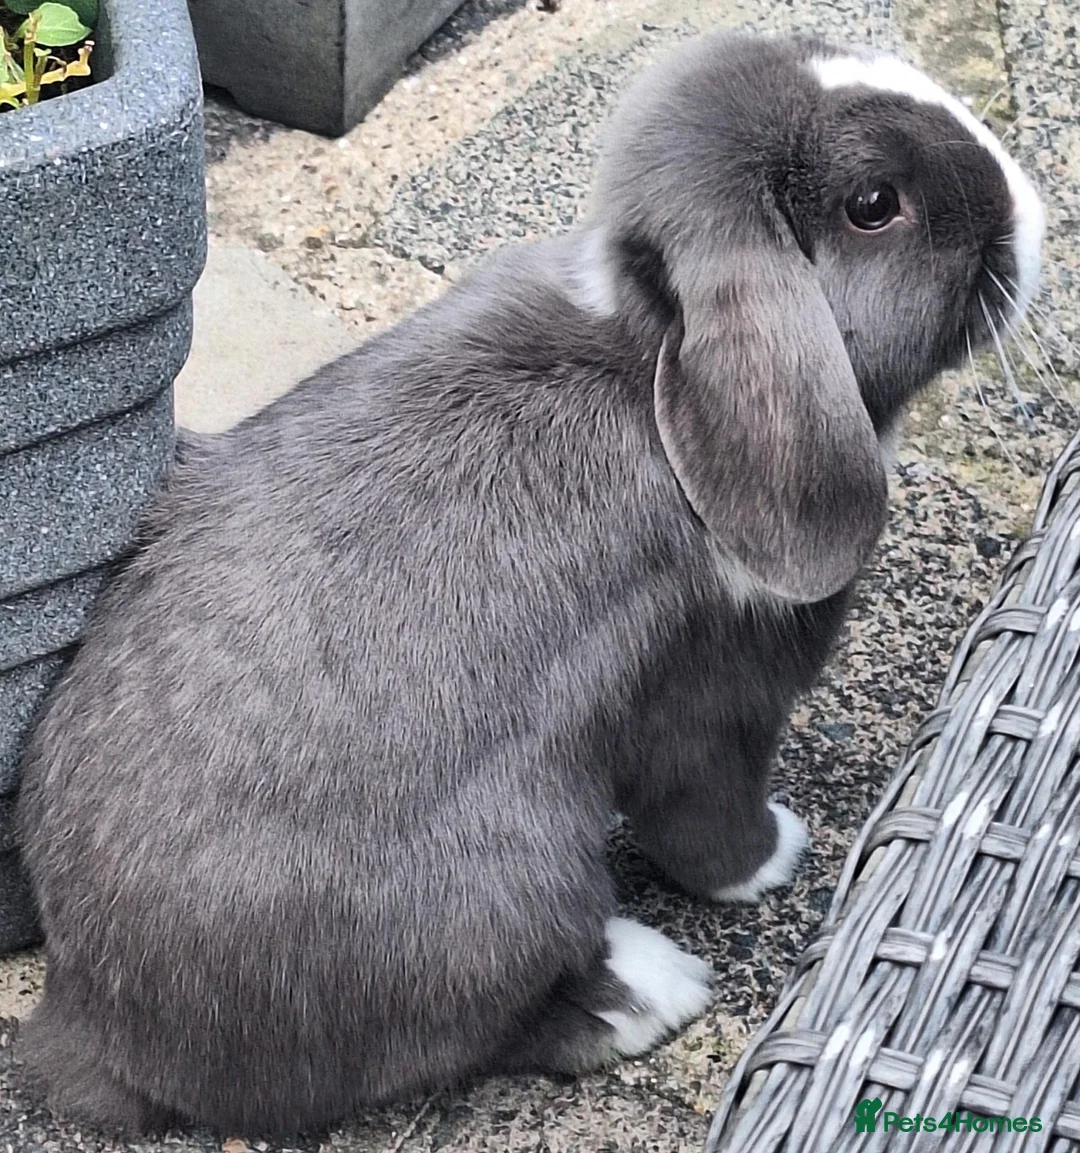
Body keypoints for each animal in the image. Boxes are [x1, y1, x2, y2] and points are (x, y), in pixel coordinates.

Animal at [15, 28, 1043, 1139]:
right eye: (873, 204)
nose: (1029, 206)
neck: (649, 354)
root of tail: (96, 1025)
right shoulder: (717, 711)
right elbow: (708, 822)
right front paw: (779, 855)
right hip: (507, 890)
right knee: (492, 1027)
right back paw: (652, 987)